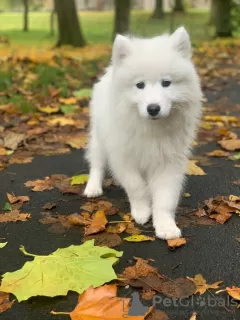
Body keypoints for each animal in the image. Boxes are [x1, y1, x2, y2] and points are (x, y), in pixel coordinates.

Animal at [83, 26, 202, 239]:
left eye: (166, 83)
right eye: (140, 85)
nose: (153, 108)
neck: (151, 129)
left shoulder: (169, 161)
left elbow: (165, 197)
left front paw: (165, 226)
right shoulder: (123, 158)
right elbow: (136, 187)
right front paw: (142, 211)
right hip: (99, 138)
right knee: (97, 163)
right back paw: (93, 187)